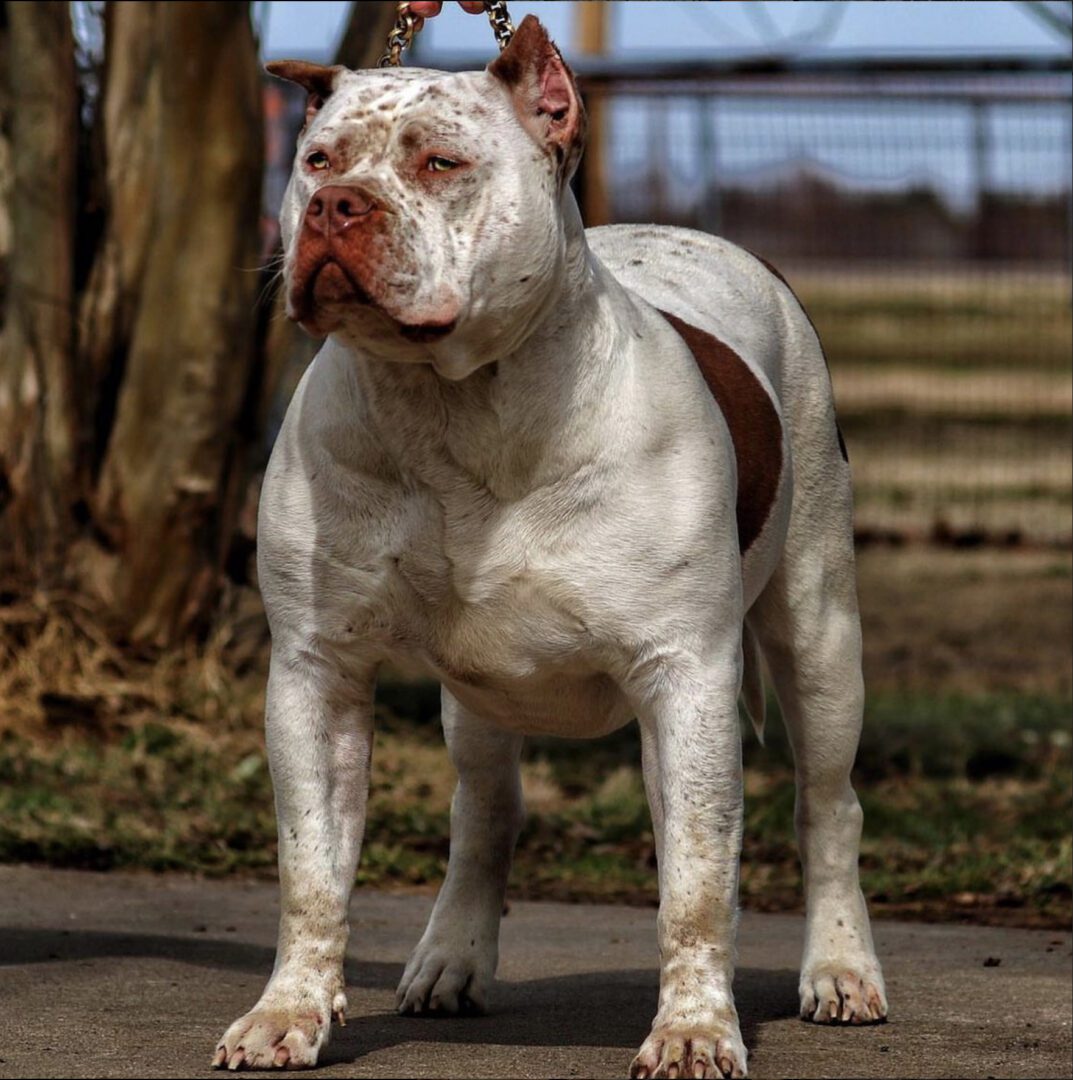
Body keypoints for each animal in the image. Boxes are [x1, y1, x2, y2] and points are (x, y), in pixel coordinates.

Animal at [211, 19, 885, 1080]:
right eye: (316, 160)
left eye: (440, 164)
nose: (333, 206)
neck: (452, 403)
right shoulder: (318, 672)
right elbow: (310, 868)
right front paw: (288, 1012)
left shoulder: (684, 675)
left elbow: (696, 880)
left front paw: (694, 1030)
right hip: (479, 701)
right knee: (485, 816)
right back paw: (450, 958)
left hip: (818, 633)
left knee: (827, 805)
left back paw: (842, 970)